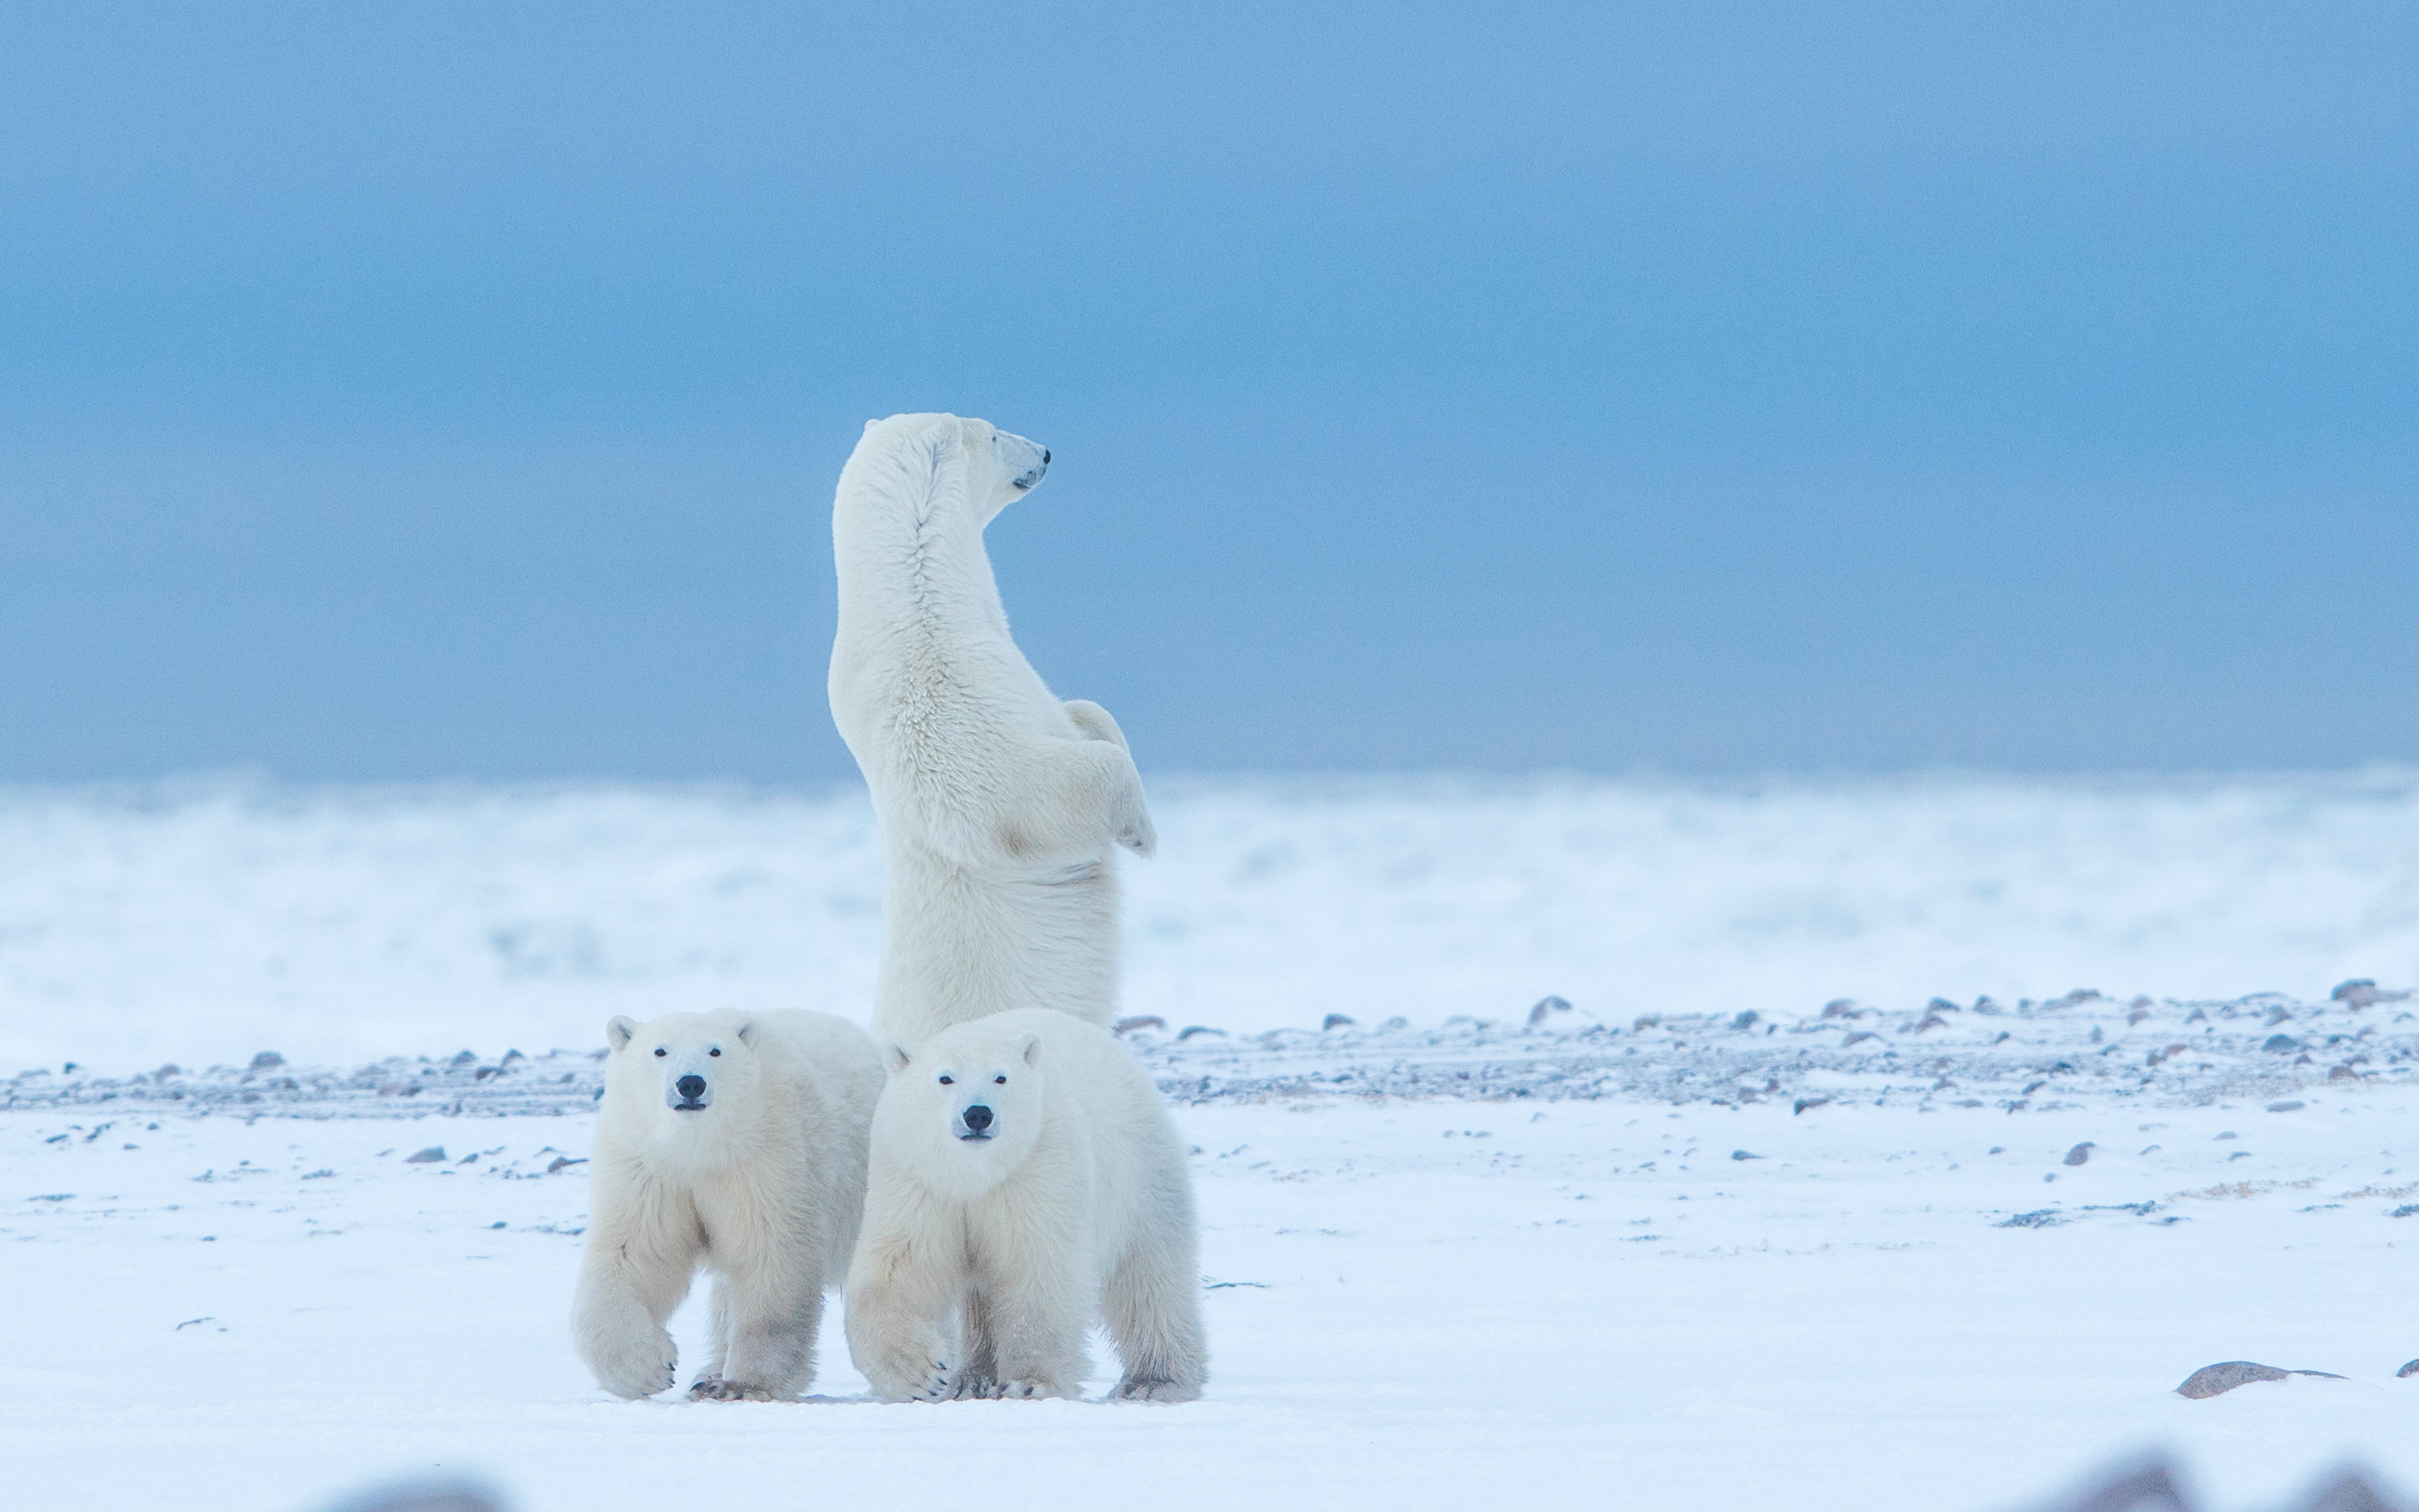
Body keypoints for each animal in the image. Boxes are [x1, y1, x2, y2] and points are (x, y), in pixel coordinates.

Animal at [571, 1006, 885, 1393]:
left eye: (715, 1050)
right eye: (660, 1051)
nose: (691, 1083)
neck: (700, 1148)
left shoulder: (763, 1158)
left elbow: (769, 1254)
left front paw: (749, 1383)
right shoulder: (648, 1167)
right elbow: (634, 1251)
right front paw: (649, 1369)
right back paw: (708, 1376)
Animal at [827, 414, 1156, 1050]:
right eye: (997, 433)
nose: (1047, 451)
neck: (923, 610)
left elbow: (1080, 712)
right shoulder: (935, 708)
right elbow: (1008, 797)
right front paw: (1141, 833)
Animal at [846, 1006, 1204, 1393]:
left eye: (1001, 1077)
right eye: (945, 1078)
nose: (978, 1114)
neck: (975, 1174)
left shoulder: (1036, 1168)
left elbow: (1039, 1267)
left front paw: (1029, 1383)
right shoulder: (918, 1180)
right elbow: (899, 1267)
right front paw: (923, 1373)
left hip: (1144, 1174)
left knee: (1151, 1280)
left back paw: (1154, 1381)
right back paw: (971, 1378)